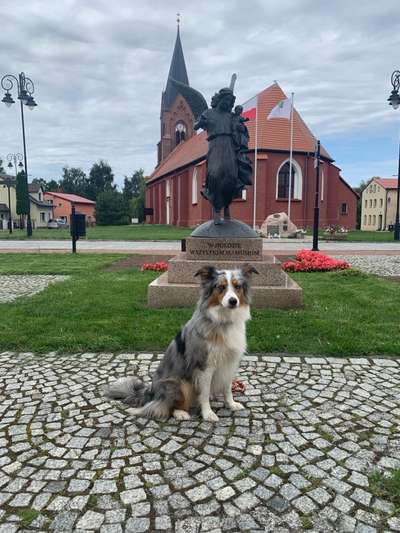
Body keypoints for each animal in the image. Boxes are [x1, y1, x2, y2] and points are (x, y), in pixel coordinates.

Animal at [103, 264, 258, 422]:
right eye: (221, 287)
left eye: (237, 286)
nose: (233, 301)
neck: (223, 320)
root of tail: (150, 393)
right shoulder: (204, 366)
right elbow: (204, 393)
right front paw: (208, 413)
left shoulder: (229, 362)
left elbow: (227, 388)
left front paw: (231, 404)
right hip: (179, 383)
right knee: (163, 407)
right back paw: (180, 413)